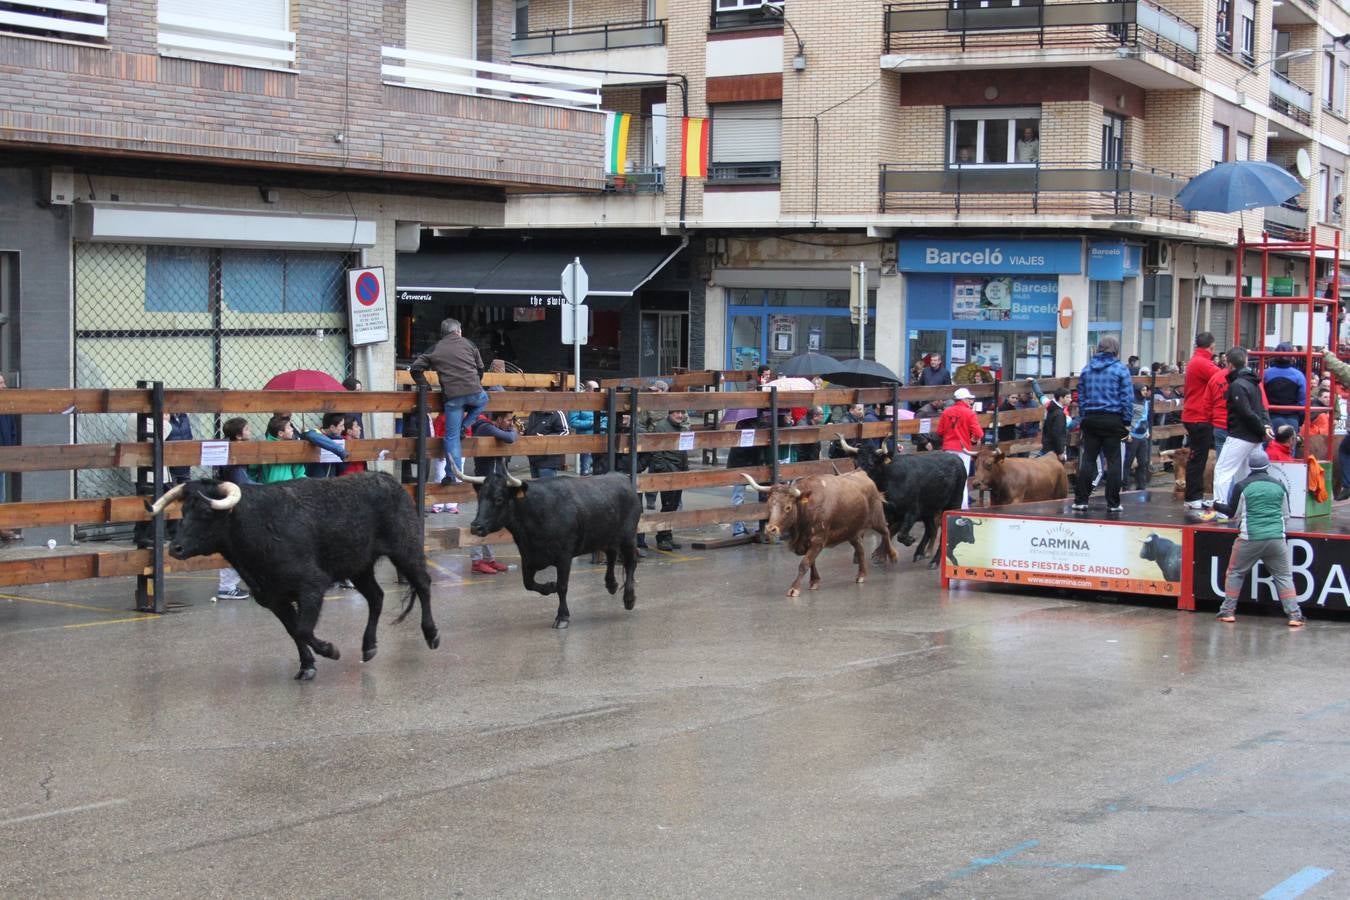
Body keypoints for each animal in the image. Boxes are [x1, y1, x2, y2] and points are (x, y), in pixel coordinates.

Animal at [147, 474, 442, 680]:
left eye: (207, 512)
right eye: (183, 512)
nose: (175, 548)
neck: (256, 526)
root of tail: (389, 479)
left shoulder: (311, 586)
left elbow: (303, 628)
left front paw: (330, 650)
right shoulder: (273, 598)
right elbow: (293, 631)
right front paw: (307, 666)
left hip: (405, 549)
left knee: (423, 584)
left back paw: (431, 634)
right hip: (359, 567)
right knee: (376, 597)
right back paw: (368, 646)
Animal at [456, 461, 639, 631]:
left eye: (499, 499)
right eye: (479, 498)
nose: (476, 526)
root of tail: (622, 478)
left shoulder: (564, 557)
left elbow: (563, 586)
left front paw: (562, 617)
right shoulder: (528, 557)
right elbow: (529, 584)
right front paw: (550, 587)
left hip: (628, 537)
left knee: (631, 562)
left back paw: (629, 599)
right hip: (607, 536)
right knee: (612, 554)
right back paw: (612, 585)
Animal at [739, 472, 896, 599]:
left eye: (788, 507)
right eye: (769, 505)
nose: (770, 529)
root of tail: (863, 475)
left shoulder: (818, 540)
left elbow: (804, 563)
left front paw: (794, 588)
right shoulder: (806, 542)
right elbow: (811, 561)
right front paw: (814, 581)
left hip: (877, 518)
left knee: (886, 532)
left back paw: (892, 555)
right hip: (852, 532)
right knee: (860, 549)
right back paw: (861, 575)